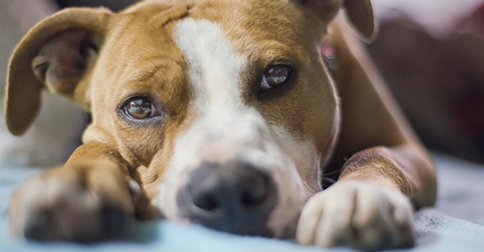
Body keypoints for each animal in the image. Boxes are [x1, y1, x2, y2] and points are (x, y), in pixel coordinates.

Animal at [4, 0, 434, 250]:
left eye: (277, 75)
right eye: (138, 107)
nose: (228, 189)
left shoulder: (407, 149)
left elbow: (373, 154)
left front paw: (358, 195)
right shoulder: (100, 131)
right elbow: (93, 144)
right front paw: (72, 181)